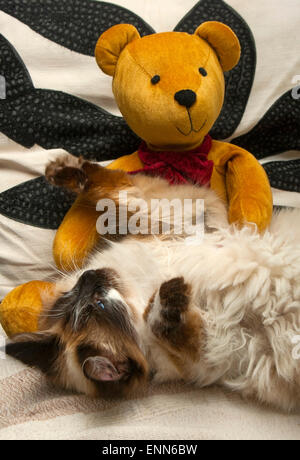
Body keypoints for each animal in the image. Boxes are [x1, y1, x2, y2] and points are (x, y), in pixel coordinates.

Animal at [4, 156, 300, 412]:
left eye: (81, 298)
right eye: (97, 304)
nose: (89, 277)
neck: (144, 287)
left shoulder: (165, 216)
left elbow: (105, 184)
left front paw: (59, 168)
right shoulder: (221, 345)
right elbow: (171, 326)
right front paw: (168, 301)